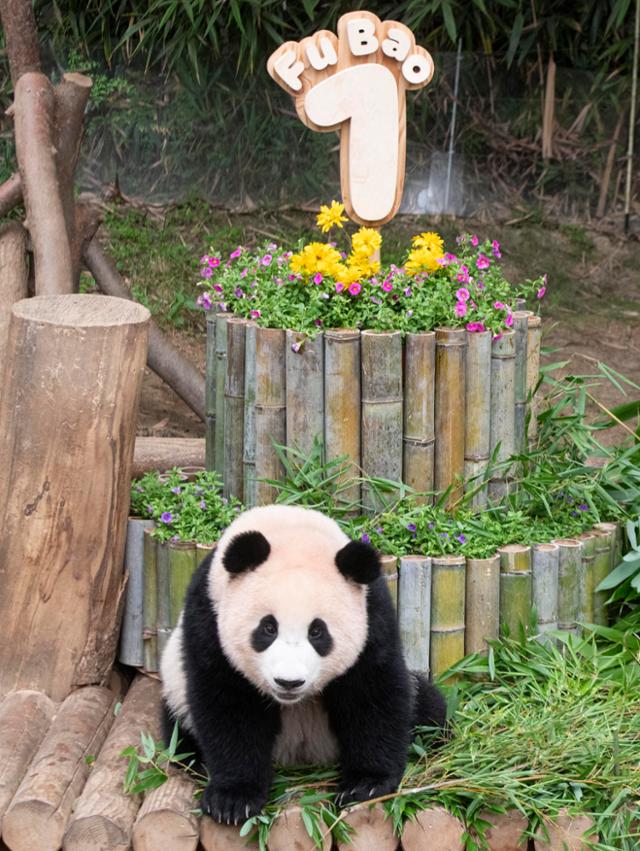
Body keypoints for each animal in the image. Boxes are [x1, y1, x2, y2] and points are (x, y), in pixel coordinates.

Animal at [161, 506, 444, 824]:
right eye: (268, 628)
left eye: (318, 632)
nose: (289, 682)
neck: (291, 530)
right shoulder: (208, 614)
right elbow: (227, 705)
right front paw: (233, 799)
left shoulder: (373, 616)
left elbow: (372, 695)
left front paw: (366, 784)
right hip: (175, 690)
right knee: (179, 731)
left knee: (427, 708)